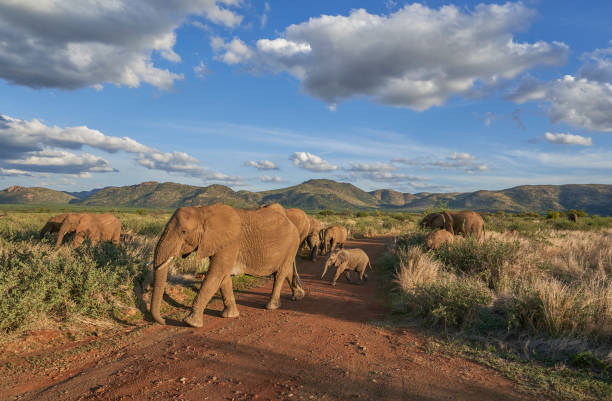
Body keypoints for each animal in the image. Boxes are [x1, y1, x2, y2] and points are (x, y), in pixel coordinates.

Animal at [152, 203, 304, 328]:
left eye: (183, 232)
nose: (164, 321)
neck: (203, 211)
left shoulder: (230, 243)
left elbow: (216, 274)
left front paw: (190, 323)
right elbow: (223, 277)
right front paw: (230, 316)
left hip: (292, 243)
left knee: (280, 273)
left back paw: (271, 306)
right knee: (286, 270)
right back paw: (298, 296)